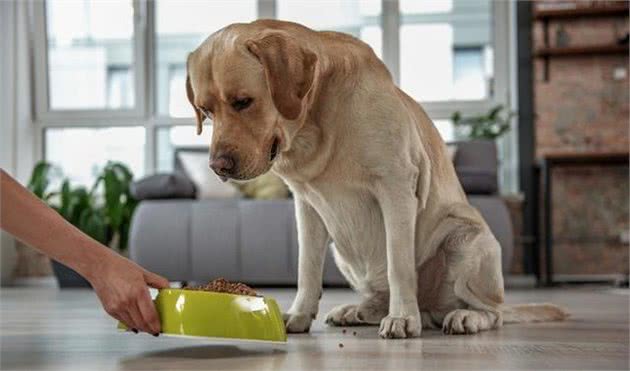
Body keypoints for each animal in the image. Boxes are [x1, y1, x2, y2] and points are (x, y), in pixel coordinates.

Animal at [186, 20, 568, 340]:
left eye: (243, 102)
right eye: (206, 111)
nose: (218, 166)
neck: (315, 125)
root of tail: (431, 308)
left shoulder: (396, 189)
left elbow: (400, 264)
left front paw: (402, 318)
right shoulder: (307, 207)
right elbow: (306, 268)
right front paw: (298, 315)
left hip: (466, 240)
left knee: (493, 312)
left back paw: (461, 316)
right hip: (342, 250)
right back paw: (359, 310)